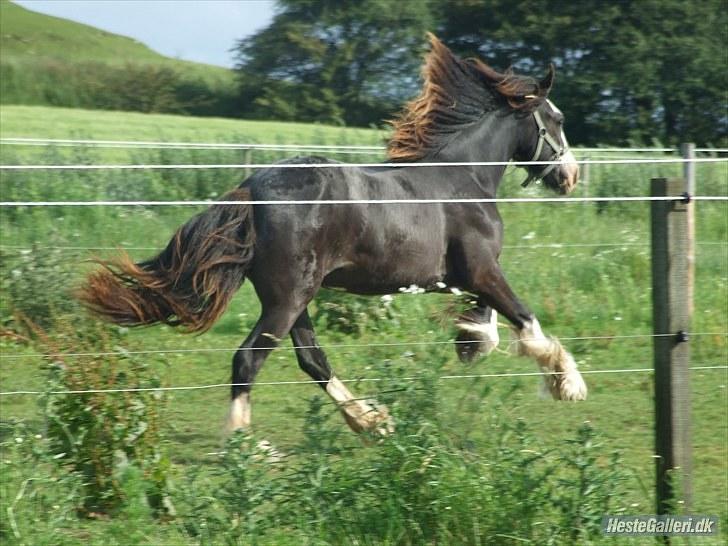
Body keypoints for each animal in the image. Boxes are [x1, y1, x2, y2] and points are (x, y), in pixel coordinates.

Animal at [81, 35, 584, 434]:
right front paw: (567, 382)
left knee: (311, 359)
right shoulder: (481, 269)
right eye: (557, 119)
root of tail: (252, 188)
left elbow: (491, 319)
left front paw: (470, 342)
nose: (571, 176)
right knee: (249, 359)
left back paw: (370, 421)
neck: (464, 178)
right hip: (288, 298)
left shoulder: (464, 277)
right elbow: (525, 318)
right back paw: (249, 447)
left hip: (294, 297)